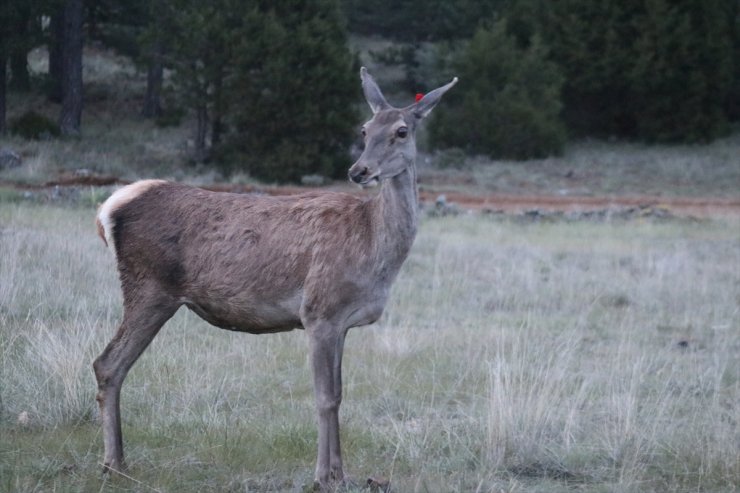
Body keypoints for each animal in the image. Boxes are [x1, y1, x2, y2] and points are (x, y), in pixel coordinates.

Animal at [92, 66, 456, 488]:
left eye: (401, 131)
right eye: (365, 129)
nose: (359, 170)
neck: (373, 248)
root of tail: (109, 208)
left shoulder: (342, 322)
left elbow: (340, 394)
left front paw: (341, 473)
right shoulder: (318, 311)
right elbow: (325, 397)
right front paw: (322, 476)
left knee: (111, 365)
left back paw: (116, 461)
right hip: (149, 287)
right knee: (108, 363)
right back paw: (114, 462)